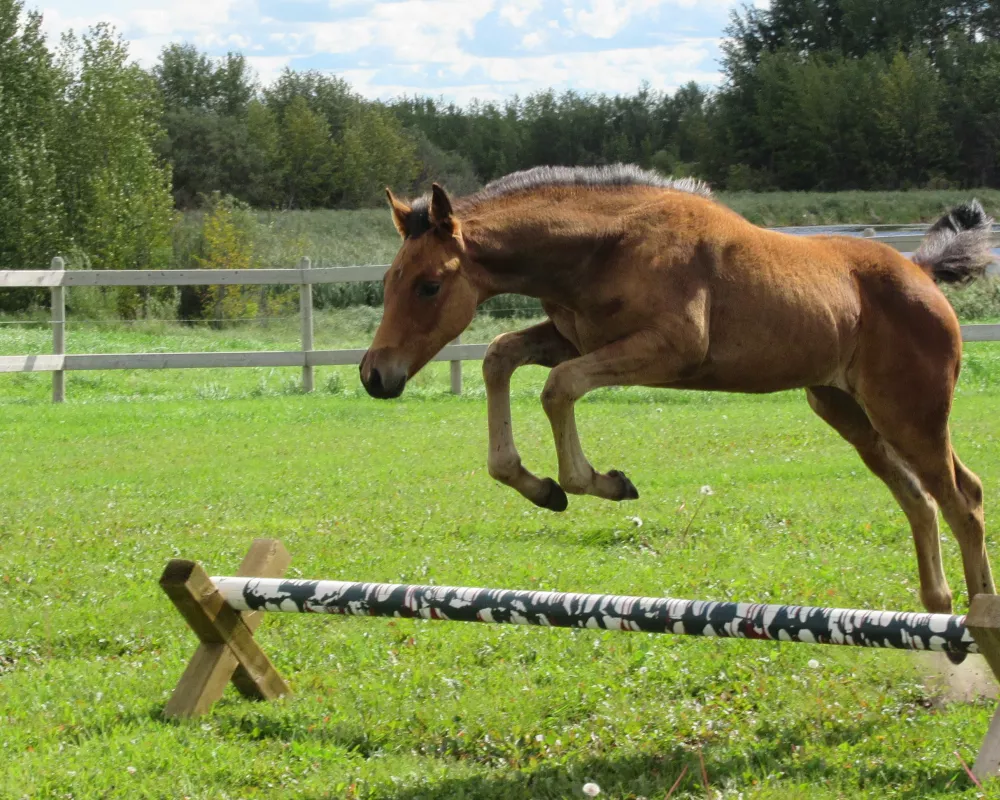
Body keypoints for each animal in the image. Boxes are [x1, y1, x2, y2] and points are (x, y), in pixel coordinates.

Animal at [364, 166, 996, 640]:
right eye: (389, 280)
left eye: (429, 285)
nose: (376, 376)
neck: (605, 247)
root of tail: (920, 272)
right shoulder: (576, 339)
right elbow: (499, 356)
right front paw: (539, 488)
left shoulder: (668, 350)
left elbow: (559, 386)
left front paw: (602, 482)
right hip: (850, 413)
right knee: (920, 499)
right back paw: (937, 611)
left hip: (910, 413)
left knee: (962, 498)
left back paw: (977, 619)